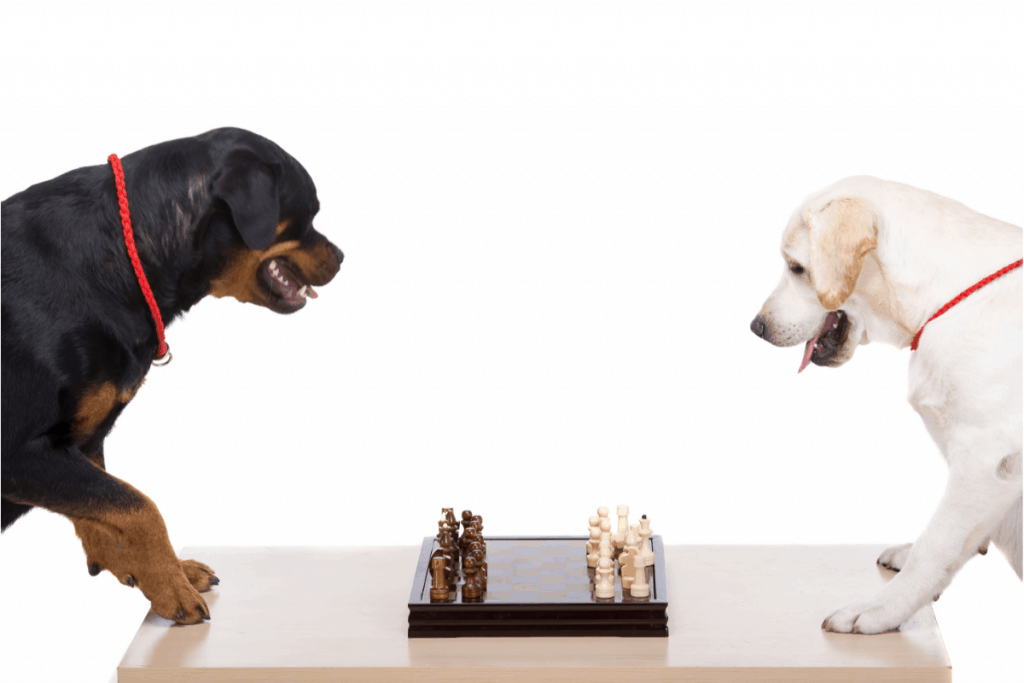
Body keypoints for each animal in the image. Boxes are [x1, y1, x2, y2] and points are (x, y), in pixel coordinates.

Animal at [0, 126, 346, 626]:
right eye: (310, 212)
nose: (342, 255)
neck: (124, 257)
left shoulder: (83, 437)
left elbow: (109, 504)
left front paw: (157, 569)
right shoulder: (18, 453)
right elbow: (138, 506)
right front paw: (170, 586)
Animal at [749, 178, 1019, 634]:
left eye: (796, 267)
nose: (756, 327)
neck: (942, 301)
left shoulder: (985, 458)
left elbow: (936, 542)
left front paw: (880, 610)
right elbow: (955, 538)